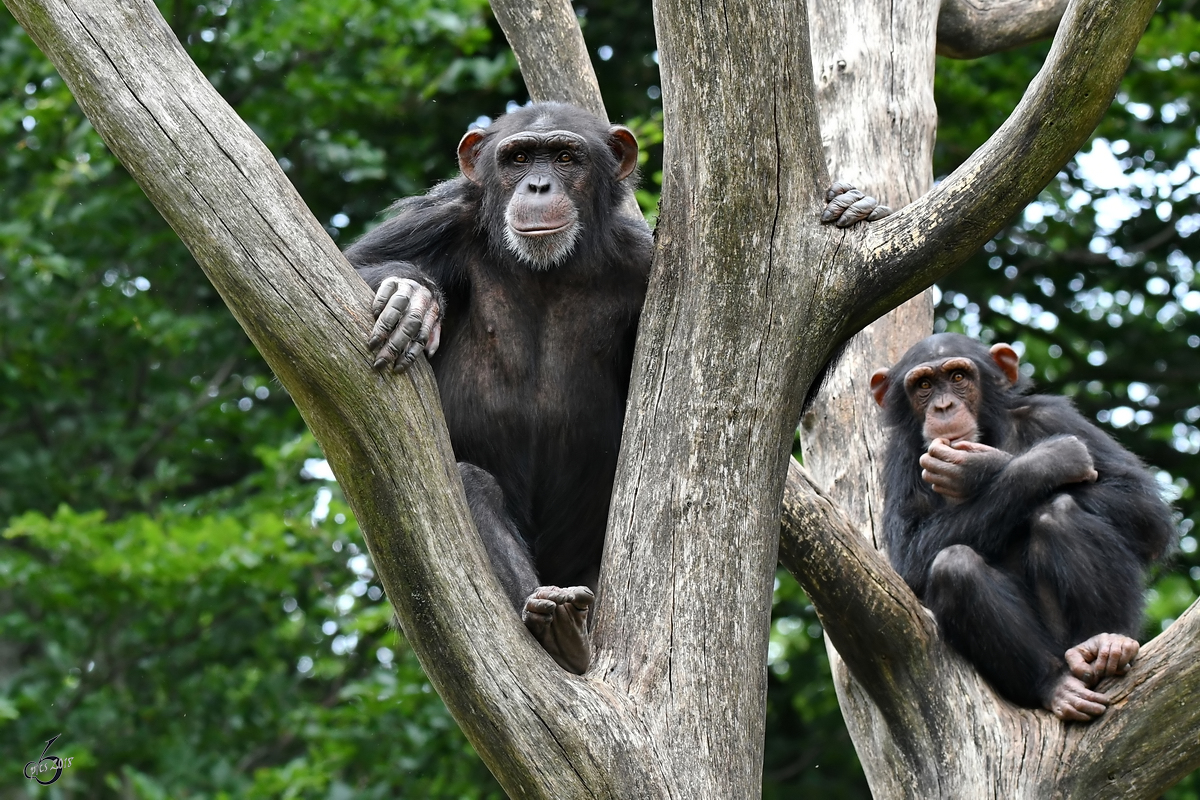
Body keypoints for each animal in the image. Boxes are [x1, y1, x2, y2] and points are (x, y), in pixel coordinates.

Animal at [873, 335, 1171, 724]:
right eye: (923, 385)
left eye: (957, 377)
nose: (943, 406)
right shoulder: (901, 457)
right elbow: (908, 558)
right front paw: (1037, 461)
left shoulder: (1052, 415)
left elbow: (1146, 510)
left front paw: (983, 466)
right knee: (955, 566)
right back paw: (1055, 684)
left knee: (1058, 511)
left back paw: (1107, 640)